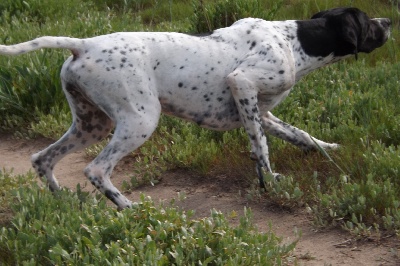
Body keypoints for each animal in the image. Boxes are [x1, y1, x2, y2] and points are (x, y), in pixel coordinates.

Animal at [0, 7, 390, 209]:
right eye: (366, 20)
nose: (388, 21)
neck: (294, 42)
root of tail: (83, 45)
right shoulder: (242, 84)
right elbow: (261, 148)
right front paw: (271, 182)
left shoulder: (259, 111)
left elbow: (302, 136)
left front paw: (331, 149)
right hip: (140, 120)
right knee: (96, 169)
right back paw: (131, 210)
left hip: (91, 124)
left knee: (43, 159)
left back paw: (66, 203)